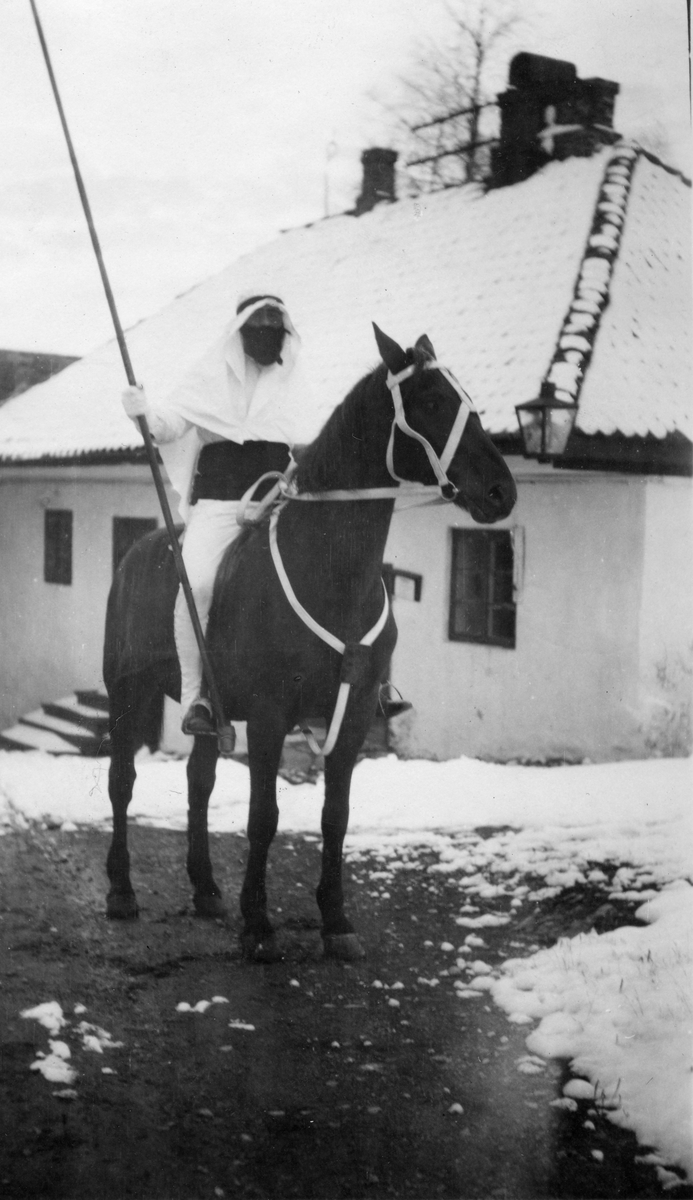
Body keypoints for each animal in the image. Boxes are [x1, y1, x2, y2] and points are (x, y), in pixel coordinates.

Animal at [102, 324, 513, 960]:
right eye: (431, 401)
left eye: (465, 396)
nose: (501, 492)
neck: (330, 571)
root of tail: (138, 551)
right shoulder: (271, 715)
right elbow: (263, 816)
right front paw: (258, 925)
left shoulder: (352, 716)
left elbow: (334, 817)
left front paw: (336, 920)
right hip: (126, 692)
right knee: (122, 783)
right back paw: (122, 892)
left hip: (211, 711)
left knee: (199, 782)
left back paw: (206, 890)